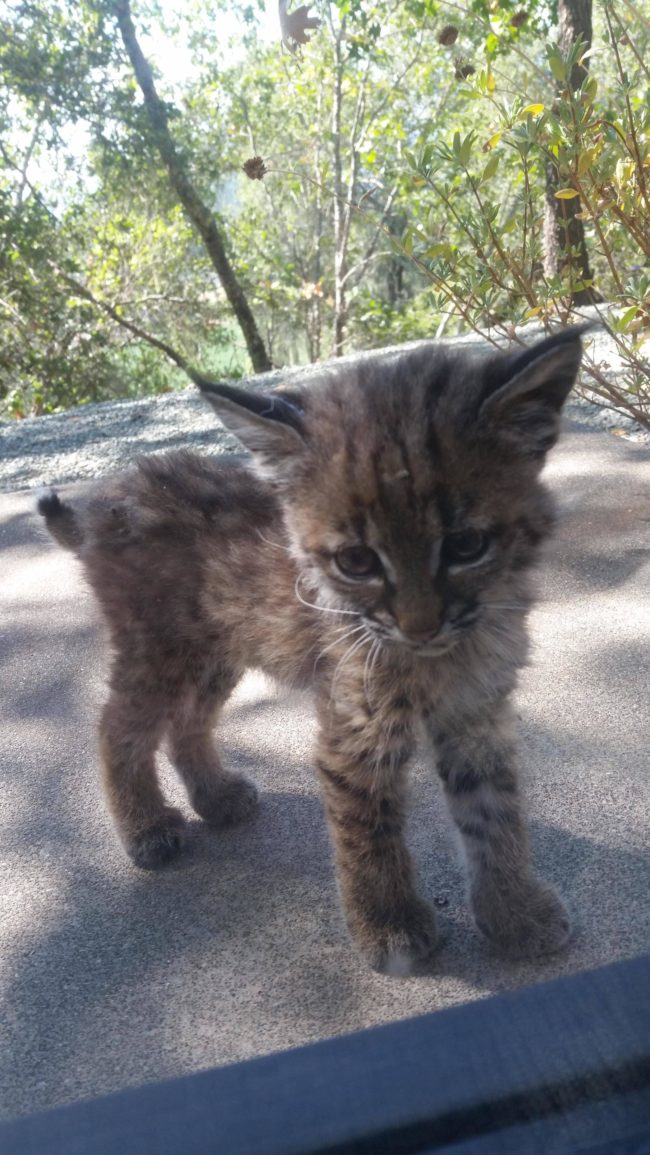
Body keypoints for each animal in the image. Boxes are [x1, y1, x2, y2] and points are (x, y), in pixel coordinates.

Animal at [40, 330, 591, 979]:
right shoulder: (357, 725)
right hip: (160, 651)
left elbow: (495, 813)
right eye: (356, 561)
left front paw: (512, 910)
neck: (452, 648)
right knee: (117, 727)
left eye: (466, 545)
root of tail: (112, 492)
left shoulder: (476, 711)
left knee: (187, 722)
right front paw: (388, 925)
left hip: (217, 650)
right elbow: (366, 826)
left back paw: (216, 795)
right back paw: (145, 826)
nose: (420, 626)